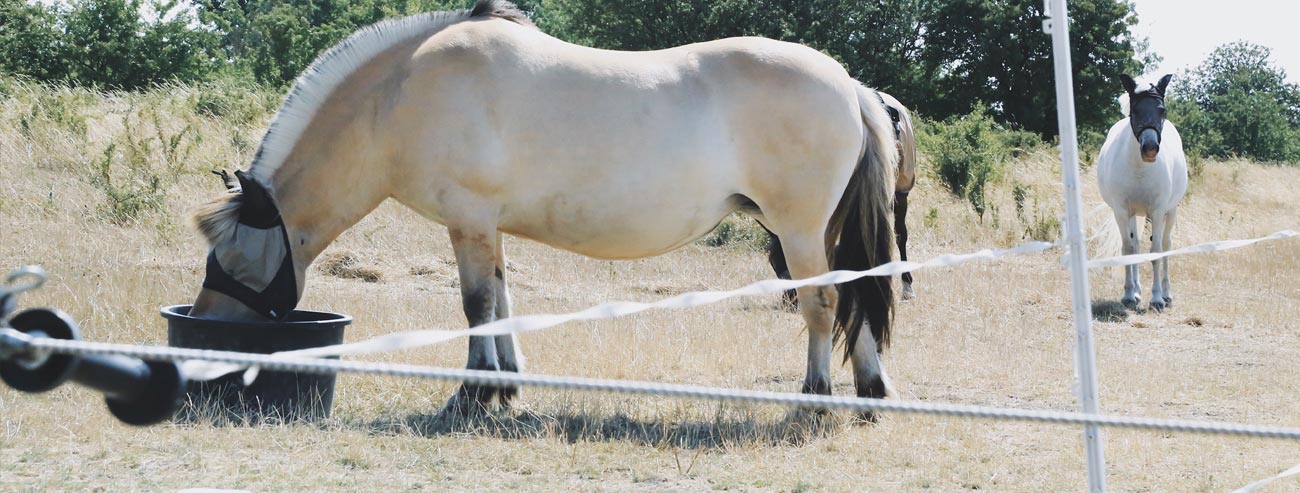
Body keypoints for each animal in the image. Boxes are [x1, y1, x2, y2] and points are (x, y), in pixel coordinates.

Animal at [189, 0, 894, 416]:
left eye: (233, 261)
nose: (205, 327)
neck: (401, 94)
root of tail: (849, 84)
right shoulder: (486, 226)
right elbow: (502, 301)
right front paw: (504, 387)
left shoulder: (468, 219)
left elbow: (477, 306)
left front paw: (473, 396)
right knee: (854, 296)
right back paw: (869, 391)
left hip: (797, 229)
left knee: (823, 302)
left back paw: (816, 399)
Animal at [1097, 74, 1190, 312]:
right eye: (1135, 111)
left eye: (1162, 110)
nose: (1150, 149)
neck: (1139, 168)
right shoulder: (1121, 212)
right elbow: (1129, 250)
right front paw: (1129, 295)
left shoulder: (1157, 212)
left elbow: (1156, 252)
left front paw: (1156, 298)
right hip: (1133, 215)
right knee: (1137, 245)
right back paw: (1138, 292)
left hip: (1170, 212)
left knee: (1166, 245)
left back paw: (1166, 294)